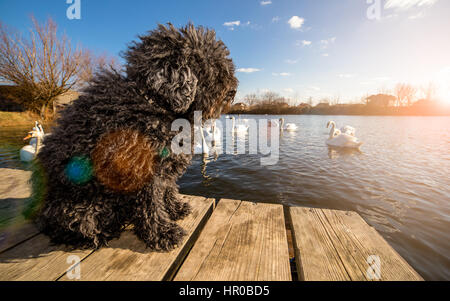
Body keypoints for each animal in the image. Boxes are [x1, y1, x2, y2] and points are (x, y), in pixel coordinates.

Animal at [31, 23, 239, 250]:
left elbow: (167, 189)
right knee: (74, 227)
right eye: (212, 67)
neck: (154, 104)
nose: (233, 91)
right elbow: (152, 205)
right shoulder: (141, 171)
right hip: (82, 209)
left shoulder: (164, 166)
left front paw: (174, 209)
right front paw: (163, 233)